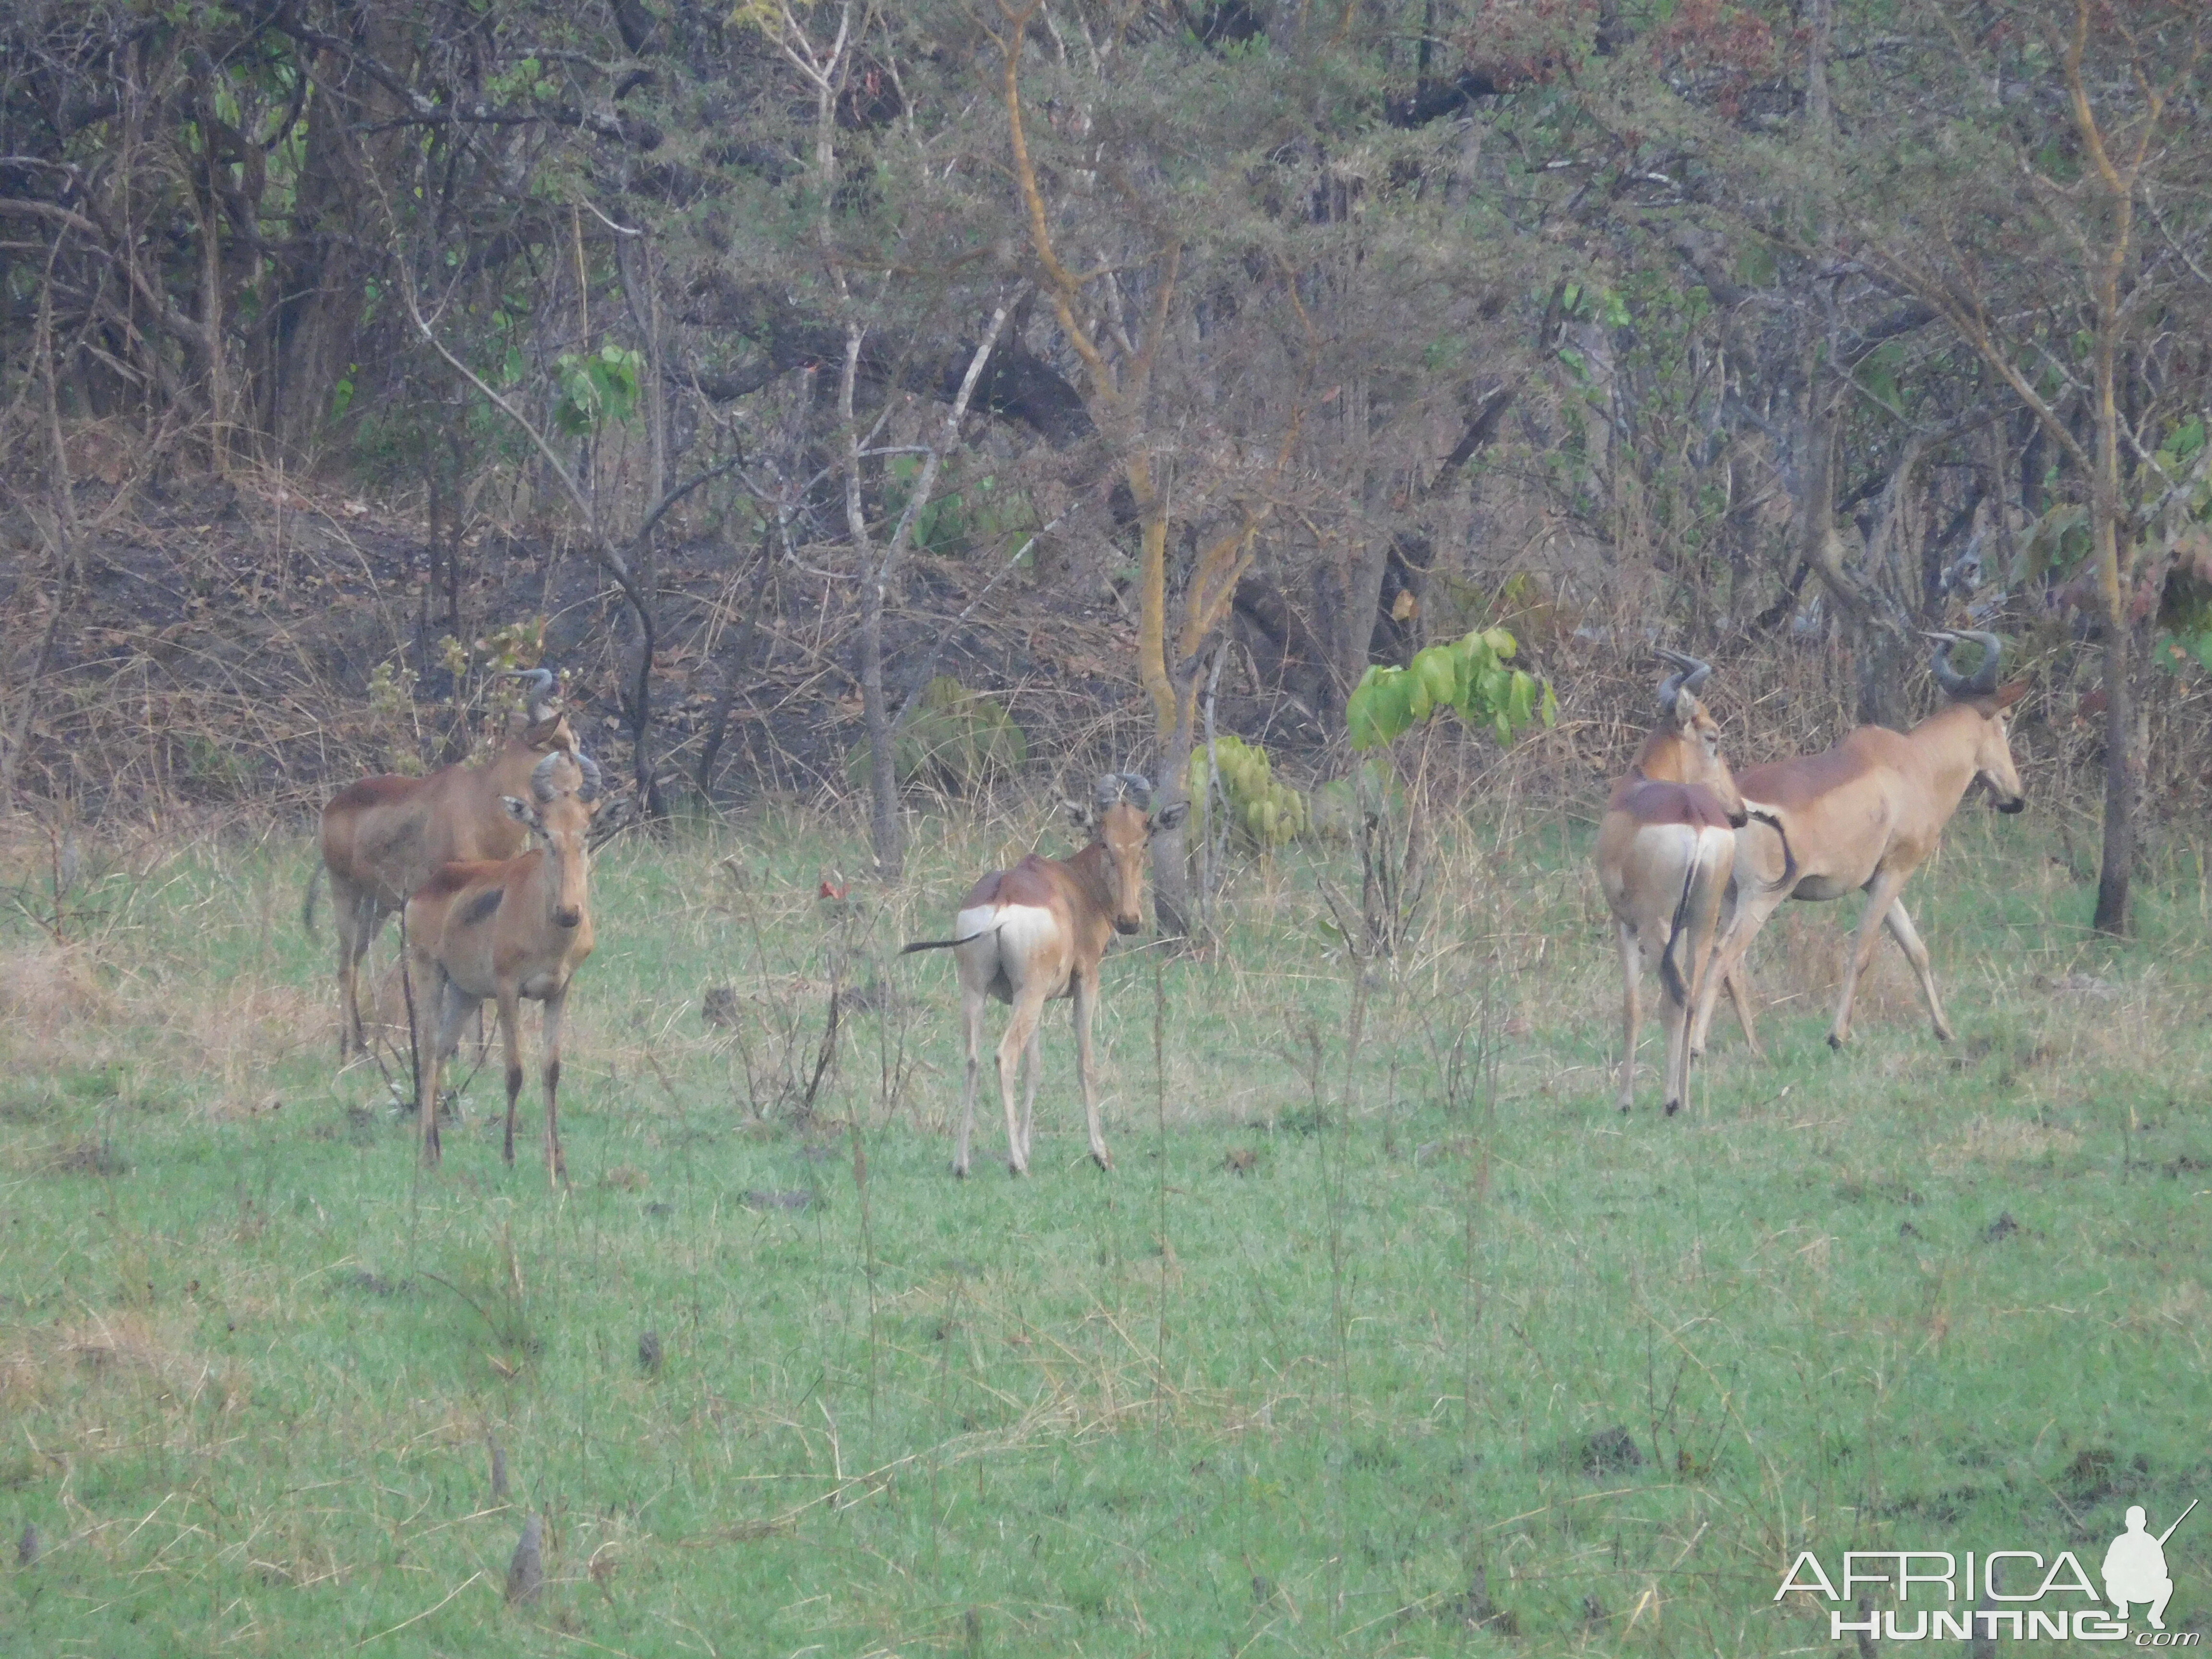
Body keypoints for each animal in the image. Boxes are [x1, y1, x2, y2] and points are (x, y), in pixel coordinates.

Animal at [312, 668, 575, 1057]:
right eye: (565, 746)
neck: (480, 800)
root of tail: (332, 806)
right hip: (345, 891)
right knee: (345, 966)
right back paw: (353, 1047)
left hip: (378, 907)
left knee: (354, 961)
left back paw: (355, 1043)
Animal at [407, 747, 606, 1177]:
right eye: (544, 831)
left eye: (586, 832)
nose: (569, 913)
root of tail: (434, 882)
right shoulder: (508, 990)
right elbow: (515, 1072)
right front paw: (510, 1155)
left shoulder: (559, 992)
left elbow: (551, 1071)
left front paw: (556, 1162)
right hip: (428, 971)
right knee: (428, 1051)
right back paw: (425, 1153)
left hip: (465, 993)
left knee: (444, 1049)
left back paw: (437, 1149)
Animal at [898, 779, 1185, 1185]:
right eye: (1103, 840)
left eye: (1144, 841)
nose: (1129, 921)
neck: (1074, 883)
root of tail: (1003, 896)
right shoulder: (1085, 981)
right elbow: (1085, 1061)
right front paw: (1100, 1154)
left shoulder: (1038, 998)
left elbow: (1034, 1068)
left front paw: (1026, 1147)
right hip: (1027, 995)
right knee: (1004, 1056)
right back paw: (1016, 1165)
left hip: (980, 990)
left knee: (973, 1059)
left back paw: (962, 1164)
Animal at [1601, 650, 1752, 1119]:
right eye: (1713, 736)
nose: (1739, 812)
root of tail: (1694, 815)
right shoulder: (1683, 927)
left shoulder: (1624, 924)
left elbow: (1631, 1006)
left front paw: (1625, 1099)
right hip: (1702, 919)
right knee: (1696, 991)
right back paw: (1683, 1098)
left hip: (1657, 924)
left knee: (1675, 995)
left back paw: (1668, 1100)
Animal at [1690, 628, 2026, 1057]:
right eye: (2005, 718)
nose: (2014, 799)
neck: (1912, 761)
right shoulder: (1896, 871)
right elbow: (1863, 951)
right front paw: (1837, 1036)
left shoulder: (1878, 877)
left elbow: (1916, 950)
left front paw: (1945, 1030)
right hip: (1761, 896)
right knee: (1723, 955)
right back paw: (1698, 1046)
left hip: (1729, 894)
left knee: (1728, 962)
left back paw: (1755, 1048)